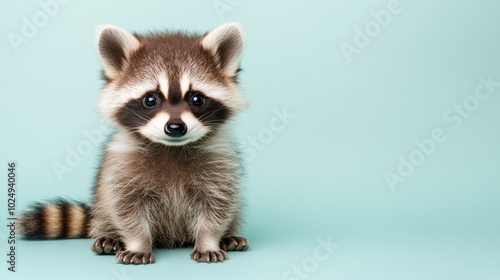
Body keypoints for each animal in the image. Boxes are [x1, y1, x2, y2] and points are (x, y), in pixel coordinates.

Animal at [19, 22, 250, 264]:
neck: (171, 148)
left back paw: (229, 235)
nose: (175, 127)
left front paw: (208, 241)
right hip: (101, 199)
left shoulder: (219, 164)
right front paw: (138, 243)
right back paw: (109, 234)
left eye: (197, 99)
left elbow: (217, 206)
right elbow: (127, 209)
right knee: (107, 206)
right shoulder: (121, 166)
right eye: (150, 99)